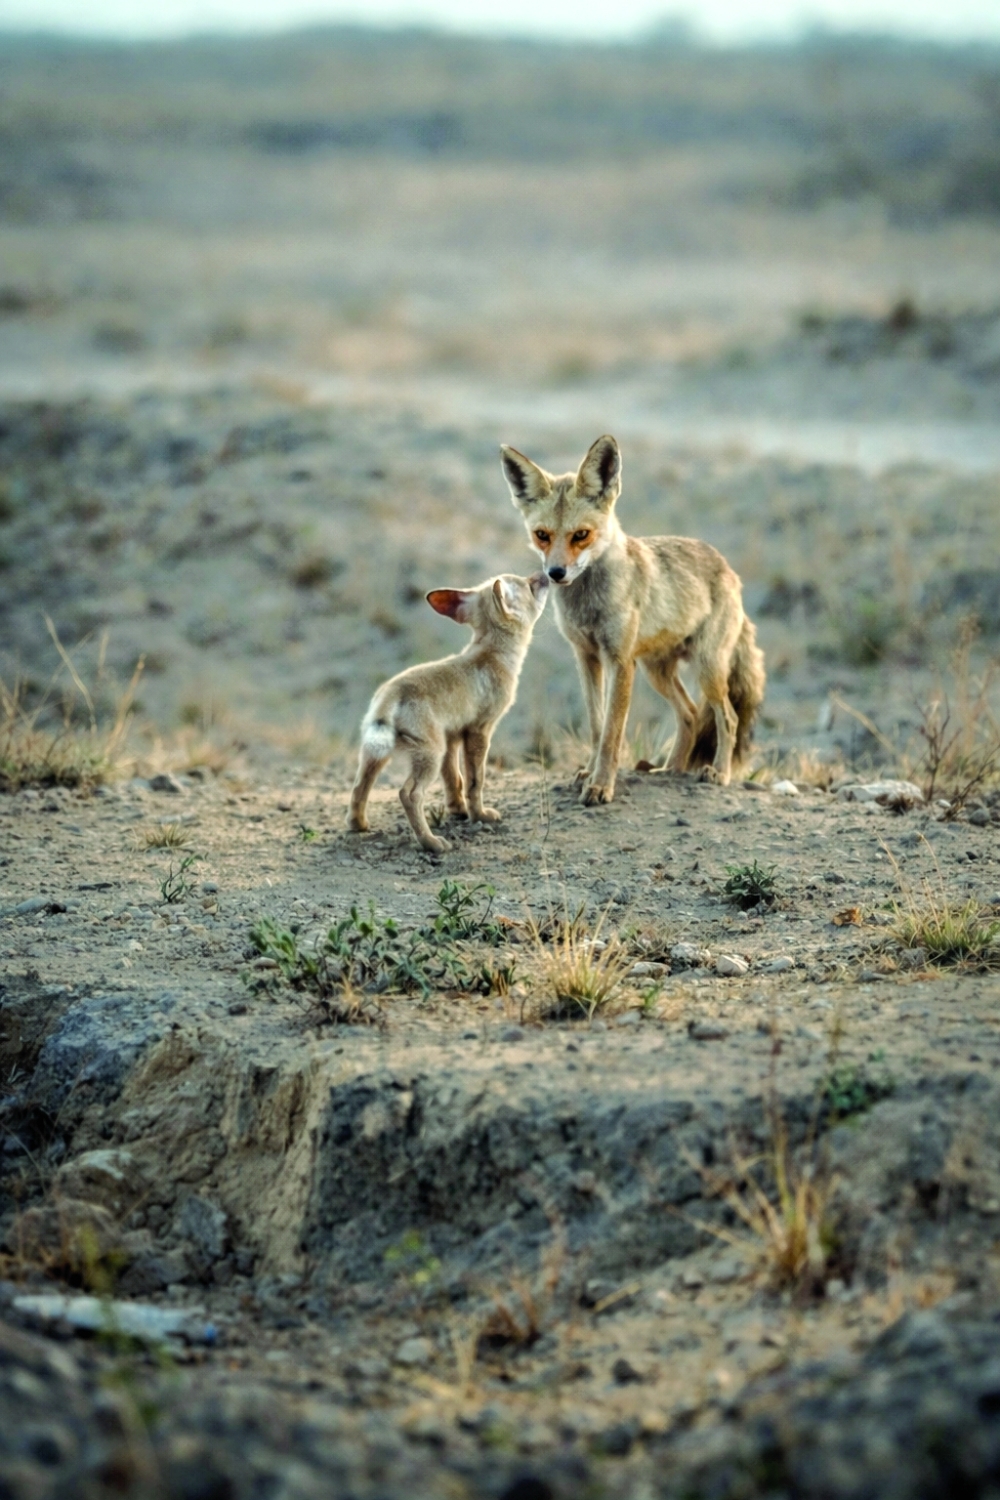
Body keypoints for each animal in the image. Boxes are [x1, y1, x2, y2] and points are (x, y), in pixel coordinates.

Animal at [347, 572, 549, 853]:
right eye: (530, 585)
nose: (545, 574)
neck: (492, 653)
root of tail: (391, 693)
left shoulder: (452, 735)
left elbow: (454, 780)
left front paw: (458, 811)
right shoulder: (479, 731)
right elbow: (475, 781)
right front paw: (479, 815)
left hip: (379, 753)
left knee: (359, 787)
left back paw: (359, 824)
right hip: (430, 753)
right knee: (408, 794)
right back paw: (431, 843)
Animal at [500, 433, 765, 804]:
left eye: (581, 535)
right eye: (542, 535)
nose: (555, 573)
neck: (588, 607)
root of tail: (729, 570)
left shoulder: (621, 661)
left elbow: (612, 732)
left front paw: (601, 785)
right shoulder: (586, 657)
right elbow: (597, 728)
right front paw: (588, 773)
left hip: (707, 669)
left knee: (727, 718)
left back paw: (719, 773)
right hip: (658, 673)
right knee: (690, 714)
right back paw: (670, 770)